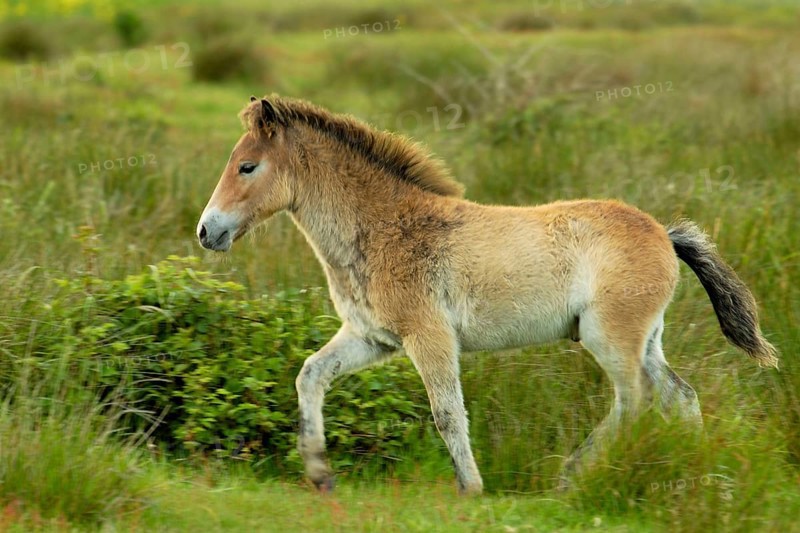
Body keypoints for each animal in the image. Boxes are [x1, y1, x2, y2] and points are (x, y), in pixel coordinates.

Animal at [196, 95, 778, 495]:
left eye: (247, 166)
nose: (207, 231)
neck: (384, 227)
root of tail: (663, 233)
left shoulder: (428, 337)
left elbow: (447, 412)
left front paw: (471, 487)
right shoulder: (371, 338)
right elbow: (310, 375)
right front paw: (319, 475)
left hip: (609, 337)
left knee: (633, 399)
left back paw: (571, 475)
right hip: (646, 340)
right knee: (681, 396)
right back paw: (696, 473)